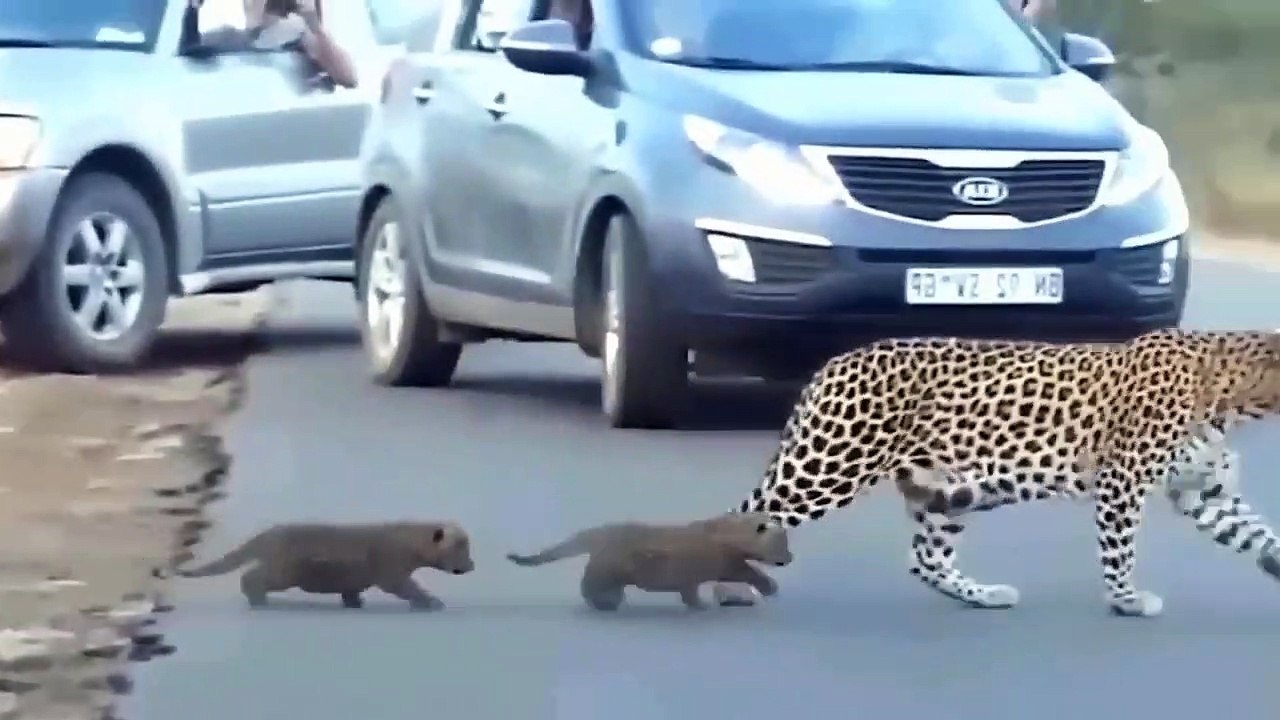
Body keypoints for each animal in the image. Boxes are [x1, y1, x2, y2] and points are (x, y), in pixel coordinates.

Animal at [177, 521, 474, 610]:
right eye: (461, 548)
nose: (470, 566)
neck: (407, 539)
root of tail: (266, 535)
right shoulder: (388, 557)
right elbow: (399, 584)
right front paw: (432, 602)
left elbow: (352, 587)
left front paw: (355, 602)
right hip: (289, 562)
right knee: (260, 576)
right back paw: (259, 599)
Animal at [506, 512, 791, 611]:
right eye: (783, 545)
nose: (790, 558)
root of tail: (596, 533)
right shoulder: (718, 554)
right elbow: (741, 570)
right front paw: (769, 586)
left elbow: (689, 587)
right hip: (612, 559)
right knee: (595, 581)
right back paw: (605, 601)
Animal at [709, 328, 1280, 617]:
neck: (1233, 395)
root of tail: (831, 364)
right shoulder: (1123, 481)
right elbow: (1120, 550)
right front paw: (1127, 600)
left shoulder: (1204, 491)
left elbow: (1258, 532)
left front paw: (1275, 561)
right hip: (826, 467)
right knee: (744, 516)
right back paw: (729, 587)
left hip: (943, 488)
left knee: (926, 558)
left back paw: (984, 595)